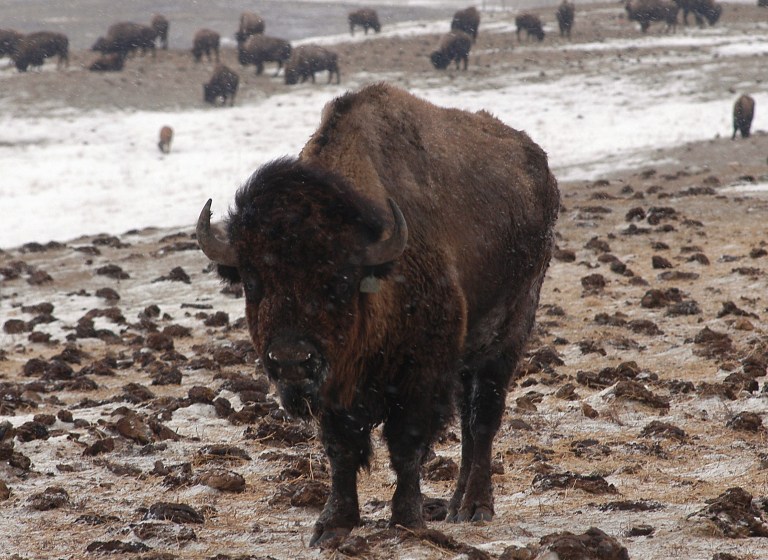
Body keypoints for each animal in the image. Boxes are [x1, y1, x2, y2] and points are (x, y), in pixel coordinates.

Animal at [196, 82, 559, 547]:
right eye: (253, 280)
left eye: (339, 279)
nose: (292, 360)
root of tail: (540, 167)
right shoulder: (336, 391)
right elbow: (342, 451)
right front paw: (332, 525)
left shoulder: (418, 378)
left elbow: (406, 446)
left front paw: (407, 518)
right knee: (467, 421)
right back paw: (455, 504)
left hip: (508, 335)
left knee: (482, 422)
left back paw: (476, 507)